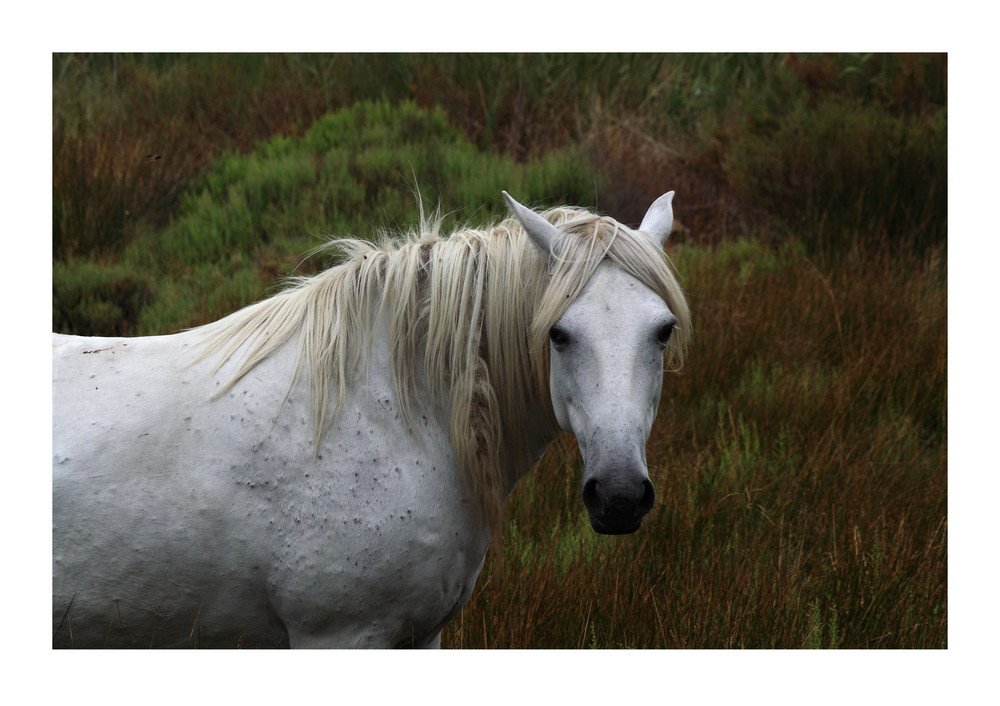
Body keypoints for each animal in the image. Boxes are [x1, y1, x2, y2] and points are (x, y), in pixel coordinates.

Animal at [52, 190, 688, 648]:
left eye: (663, 330)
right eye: (558, 333)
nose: (620, 496)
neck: (398, 417)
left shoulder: (421, 636)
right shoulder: (338, 635)